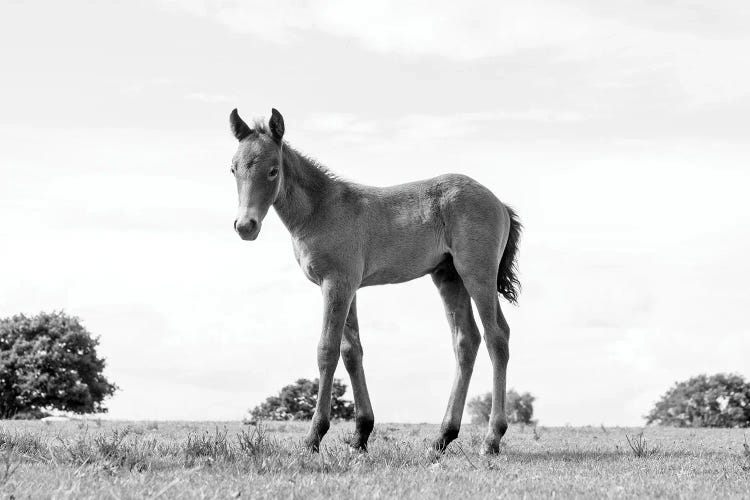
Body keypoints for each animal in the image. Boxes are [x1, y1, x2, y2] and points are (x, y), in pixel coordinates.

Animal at [229, 107, 524, 456]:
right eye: (233, 168)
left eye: (273, 170)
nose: (245, 226)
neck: (321, 209)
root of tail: (499, 203)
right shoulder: (349, 288)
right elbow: (351, 351)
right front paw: (361, 434)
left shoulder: (337, 283)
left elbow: (327, 350)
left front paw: (314, 436)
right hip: (448, 277)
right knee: (466, 341)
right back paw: (442, 437)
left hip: (477, 273)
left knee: (497, 337)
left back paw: (492, 438)